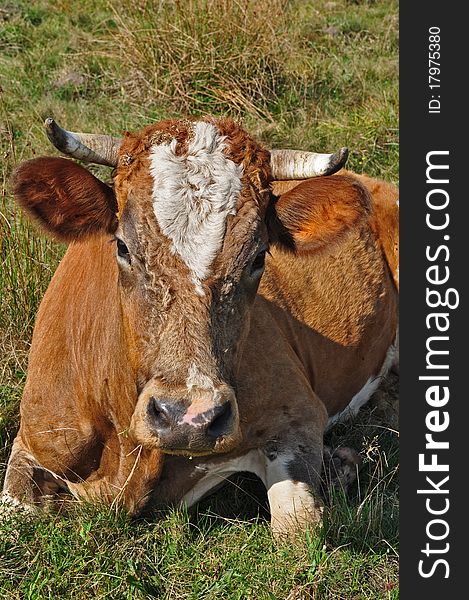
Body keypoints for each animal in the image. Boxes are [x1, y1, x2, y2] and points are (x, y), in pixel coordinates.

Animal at [1, 117, 396, 536]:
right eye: (123, 247)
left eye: (259, 257)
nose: (187, 418)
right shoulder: (32, 441)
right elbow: (15, 510)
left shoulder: (299, 412)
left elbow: (297, 526)